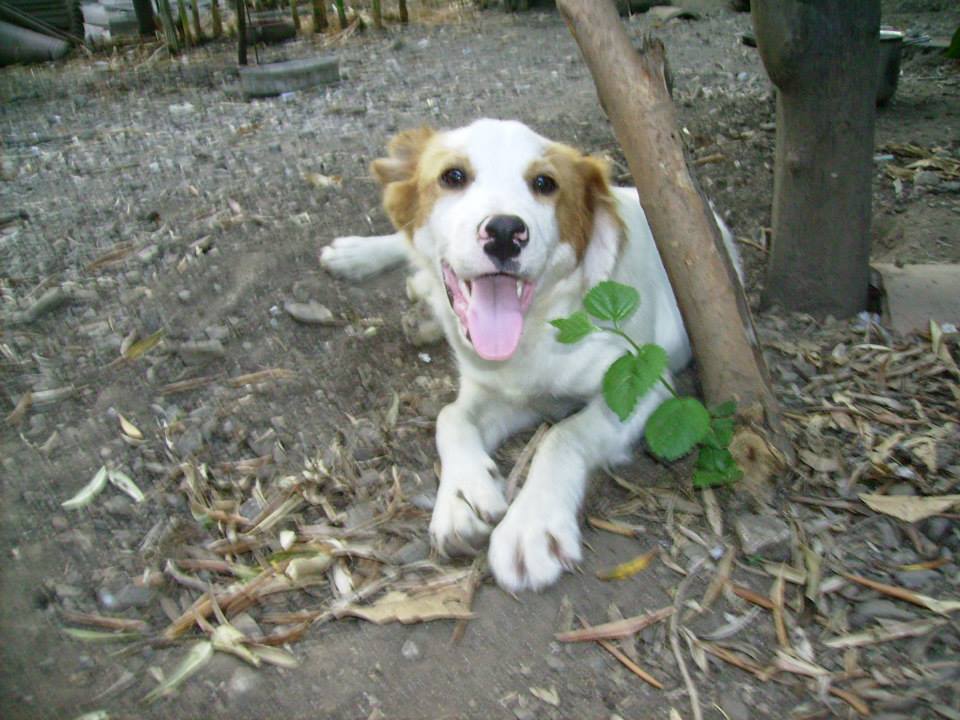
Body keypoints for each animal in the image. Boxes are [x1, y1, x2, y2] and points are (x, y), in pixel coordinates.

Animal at [322, 116, 736, 592]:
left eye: (545, 183)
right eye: (453, 176)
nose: (504, 232)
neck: (534, 333)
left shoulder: (641, 385)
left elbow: (563, 436)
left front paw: (531, 526)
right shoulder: (494, 388)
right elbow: (450, 417)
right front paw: (463, 497)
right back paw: (360, 257)